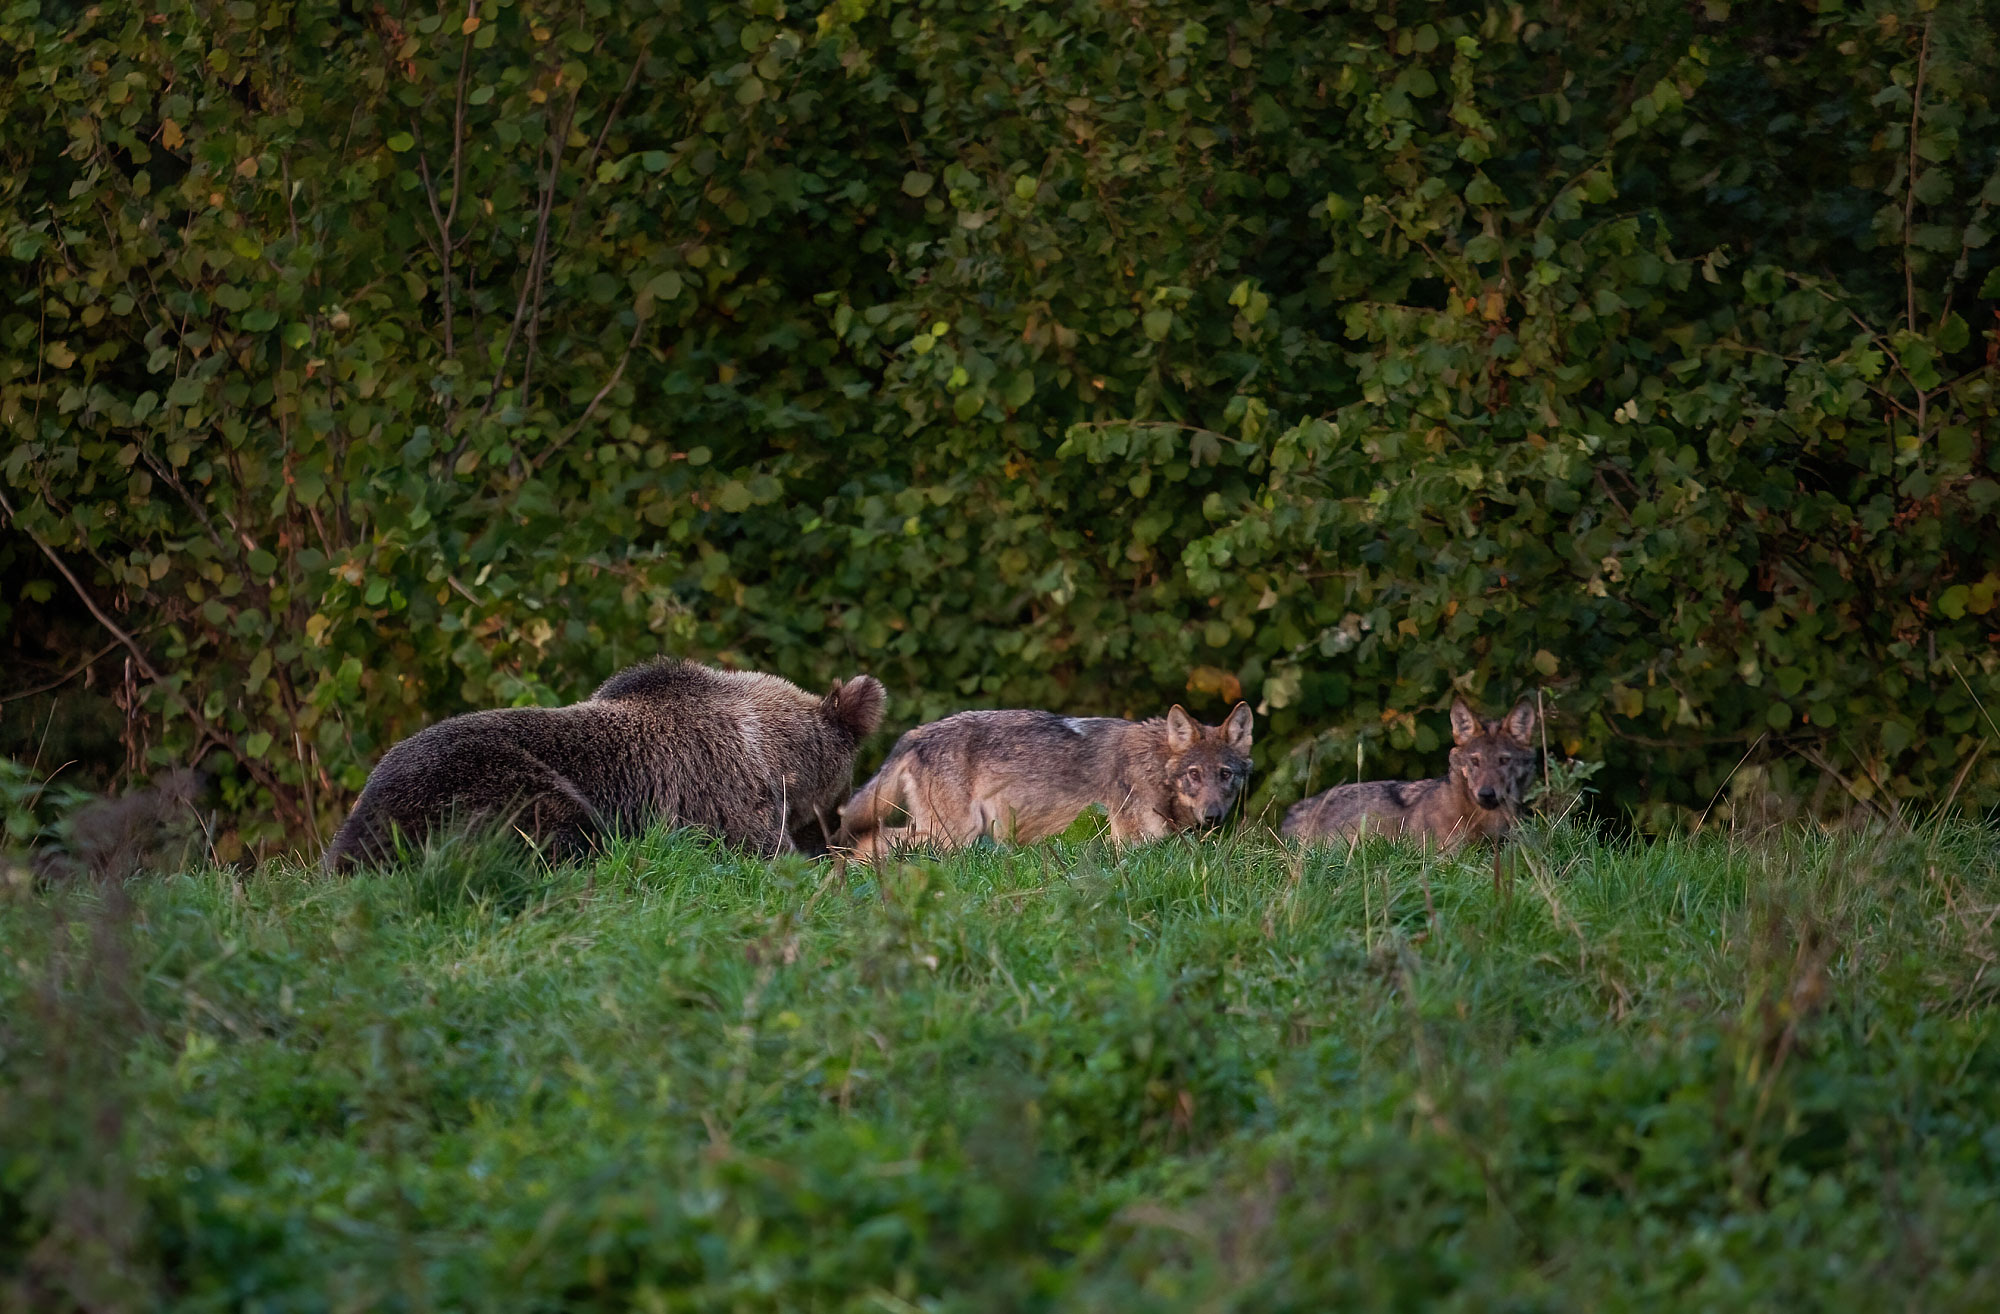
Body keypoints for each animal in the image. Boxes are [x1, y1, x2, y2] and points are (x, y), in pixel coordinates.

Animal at [840, 696, 1248, 860]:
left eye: (1225, 774)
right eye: (1194, 775)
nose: (1213, 817)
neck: (1156, 764)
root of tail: (917, 733)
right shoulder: (1136, 842)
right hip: (955, 836)